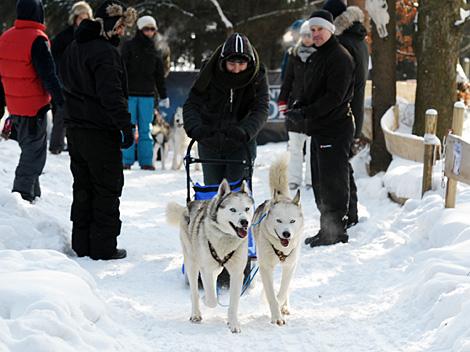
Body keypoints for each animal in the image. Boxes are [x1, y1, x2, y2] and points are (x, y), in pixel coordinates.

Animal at [165, 180, 253, 332]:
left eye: (247, 209)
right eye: (233, 210)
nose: (244, 222)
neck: (225, 239)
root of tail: (189, 205)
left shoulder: (237, 273)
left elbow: (234, 303)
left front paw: (233, 324)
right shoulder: (205, 268)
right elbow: (211, 300)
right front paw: (206, 299)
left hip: (215, 267)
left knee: (213, 278)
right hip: (192, 264)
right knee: (194, 292)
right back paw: (196, 313)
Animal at [253, 153, 304, 324]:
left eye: (292, 221)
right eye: (279, 221)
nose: (286, 234)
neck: (281, 250)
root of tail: (282, 196)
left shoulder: (290, 266)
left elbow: (281, 292)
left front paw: (280, 307)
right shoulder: (265, 267)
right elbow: (271, 294)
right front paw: (276, 317)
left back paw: (285, 307)